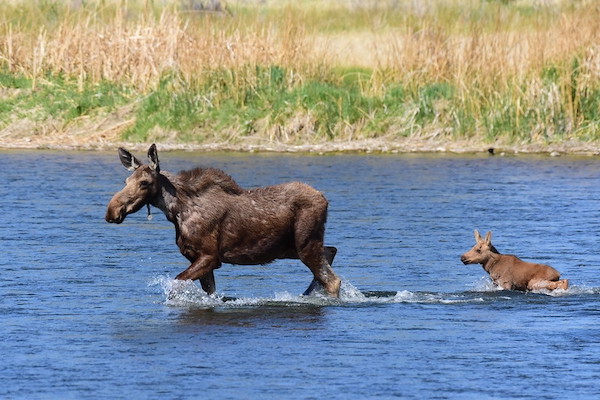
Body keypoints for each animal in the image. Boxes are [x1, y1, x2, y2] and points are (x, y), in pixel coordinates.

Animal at [105, 145, 340, 296]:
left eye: (144, 182)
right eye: (126, 180)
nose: (111, 211)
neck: (176, 212)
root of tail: (324, 198)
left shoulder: (210, 256)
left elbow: (175, 285)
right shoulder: (196, 257)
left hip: (305, 244)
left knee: (333, 280)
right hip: (290, 248)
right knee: (330, 252)